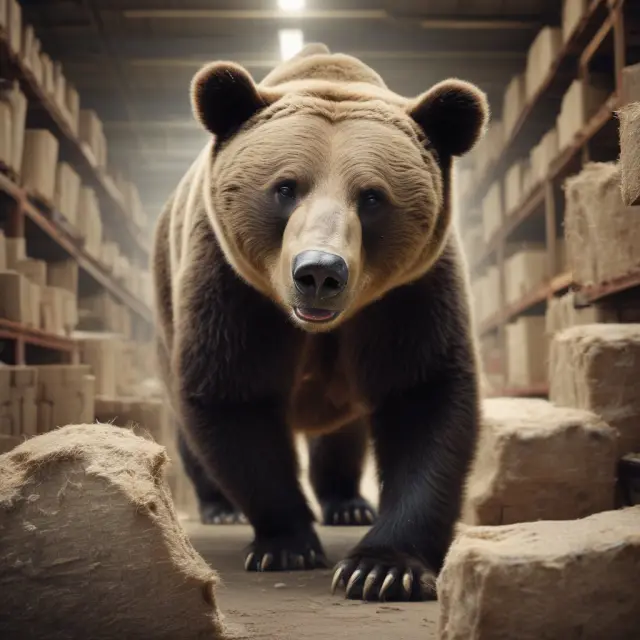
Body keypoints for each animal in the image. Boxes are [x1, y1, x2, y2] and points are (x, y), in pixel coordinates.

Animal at [151, 42, 488, 602]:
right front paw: (287, 543)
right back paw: (220, 508)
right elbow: (232, 393)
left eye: (371, 196)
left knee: (341, 433)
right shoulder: (231, 284)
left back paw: (347, 503)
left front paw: (380, 568)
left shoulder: (409, 292)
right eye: (285, 187)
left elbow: (423, 393)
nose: (319, 272)